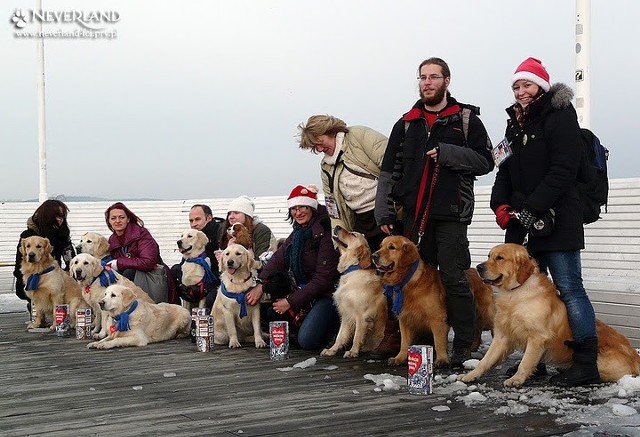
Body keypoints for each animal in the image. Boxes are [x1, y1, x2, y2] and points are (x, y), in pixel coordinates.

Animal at [320, 225, 384, 358]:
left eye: (353, 234)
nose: (337, 226)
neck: (353, 270)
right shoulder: (345, 313)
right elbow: (340, 336)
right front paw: (332, 350)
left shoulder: (362, 315)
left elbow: (357, 336)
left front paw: (353, 351)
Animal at [460, 244, 640, 386]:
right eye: (489, 255)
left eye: (500, 258)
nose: (478, 267)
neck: (516, 292)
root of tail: (634, 356)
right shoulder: (502, 335)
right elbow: (485, 360)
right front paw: (470, 375)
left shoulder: (537, 337)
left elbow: (525, 362)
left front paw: (516, 379)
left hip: (601, 362)